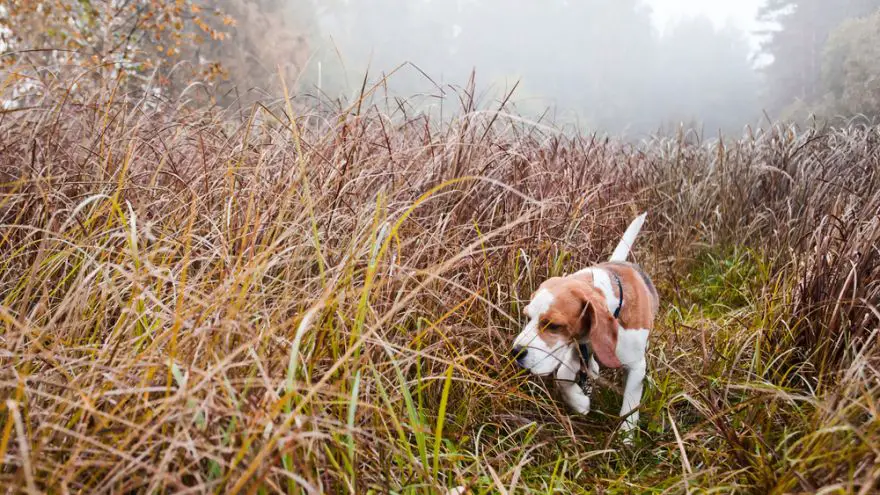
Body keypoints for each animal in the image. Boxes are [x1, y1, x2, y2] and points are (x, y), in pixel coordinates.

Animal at [512, 213, 656, 434]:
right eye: (528, 317)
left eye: (553, 325)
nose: (516, 352)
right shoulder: (576, 346)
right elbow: (563, 376)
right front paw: (579, 401)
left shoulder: (636, 366)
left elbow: (630, 406)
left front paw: (625, 436)